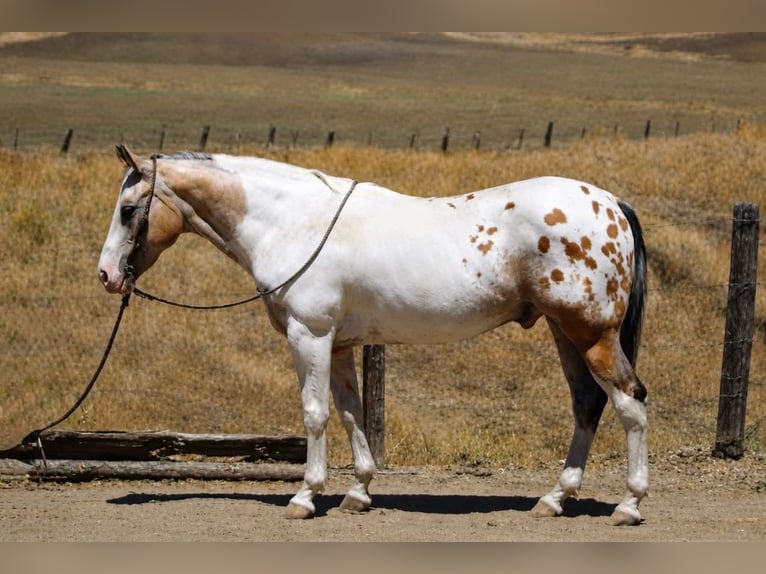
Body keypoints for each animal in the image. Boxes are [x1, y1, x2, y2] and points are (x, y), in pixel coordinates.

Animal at [98, 145, 648, 526]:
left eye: (128, 209)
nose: (106, 275)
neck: (293, 223)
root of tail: (611, 202)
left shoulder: (310, 336)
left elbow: (315, 415)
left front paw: (306, 496)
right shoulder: (340, 344)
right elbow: (350, 413)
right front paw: (358, 493)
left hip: (591, 333)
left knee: (629, 403)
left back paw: (629, 504)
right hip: (565, 332)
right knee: (587, 404)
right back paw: (554, 499)